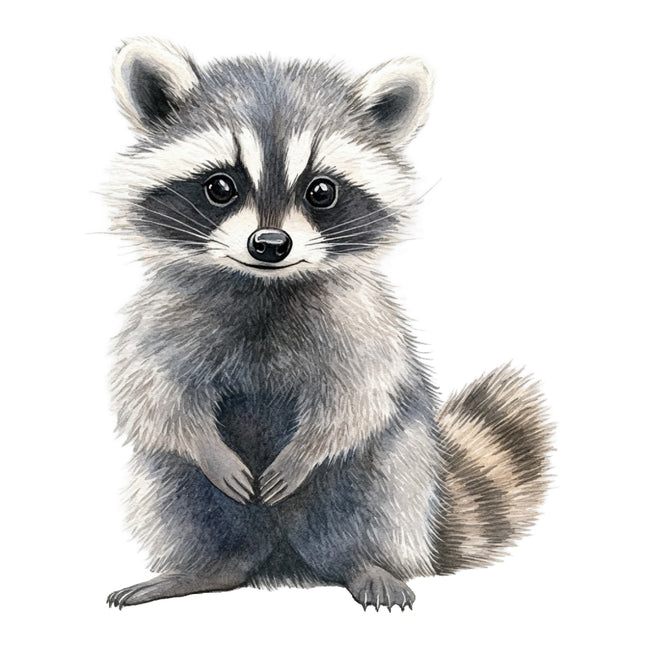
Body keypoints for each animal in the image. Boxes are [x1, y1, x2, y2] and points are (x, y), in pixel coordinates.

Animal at [105, 38, 552, 611]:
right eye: (220, 186)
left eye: (321, 191)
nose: (270, 245)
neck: (266, 286)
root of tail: (281, 556)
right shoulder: (166, 313)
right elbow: (155, 393)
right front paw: (205, 446)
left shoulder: (361, 321)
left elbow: (356, 400)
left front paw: (306, 451)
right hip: (176, 491)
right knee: (178, 492)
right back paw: (208, 568)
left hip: (407, 474)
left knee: (377, 486)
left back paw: (363, 564)